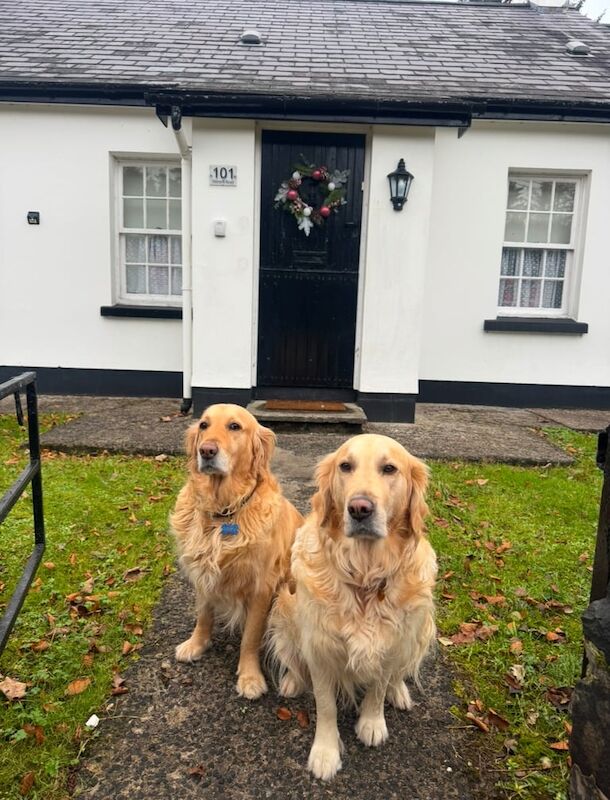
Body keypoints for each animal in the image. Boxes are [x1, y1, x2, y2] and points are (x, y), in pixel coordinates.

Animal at [170, 404, 302, 696]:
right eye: (204, 425)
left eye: (234, 427)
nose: (206, 450)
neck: (223, 513)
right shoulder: (203, 572)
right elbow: (203, 614)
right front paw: (196, 644)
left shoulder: (261, 588)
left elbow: (250, 638)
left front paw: (250, 677)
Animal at [268, 434, 434, 780]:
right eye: (345, 466)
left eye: (389, 468)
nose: (359, 509)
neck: (365, 575)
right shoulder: (319, 649)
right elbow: (326, 705)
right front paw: (325, 752)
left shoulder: (392, 642)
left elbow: (379, 686)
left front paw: (372, 723)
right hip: (283, 609)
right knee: (291, 657)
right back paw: (291, 680)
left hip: (421, 626)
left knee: (400, 673)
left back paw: (400, 692)